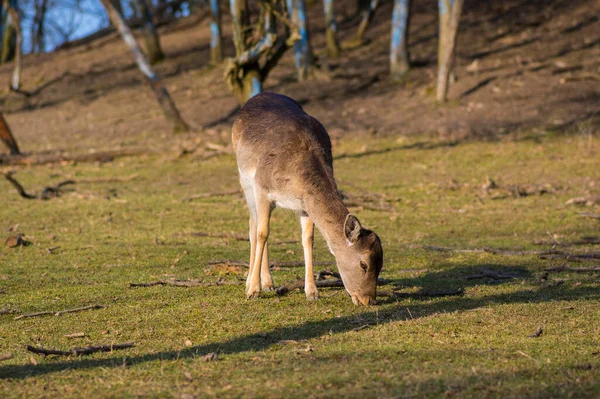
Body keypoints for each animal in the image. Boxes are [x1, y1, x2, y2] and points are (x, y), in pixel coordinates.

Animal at [232, 94, 382, 306]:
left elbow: (308, 239)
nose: (369, 300)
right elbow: (262, 233)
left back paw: (268, 283)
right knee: (253, 225)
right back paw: (255, 282)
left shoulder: (304, 205)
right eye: (363, 264)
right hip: (245, 181)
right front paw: (253, 290)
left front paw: (312, 292)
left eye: (381, 265)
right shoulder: (262, 188)